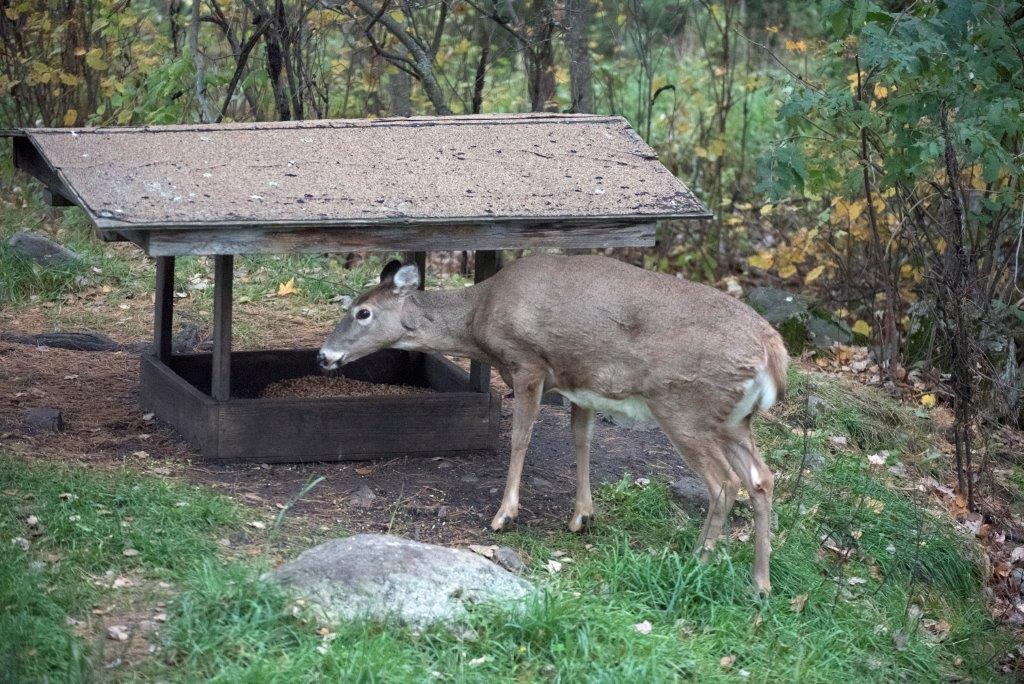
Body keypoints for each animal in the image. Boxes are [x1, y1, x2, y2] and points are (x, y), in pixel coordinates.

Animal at [318, 255, 788, 594]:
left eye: (362, 312)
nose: (323, 356)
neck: (478, 316)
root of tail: (773, 351)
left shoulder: (527, 363)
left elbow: (520, 437)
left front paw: (504, 515)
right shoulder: (581, 386)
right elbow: (581, 441)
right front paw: (582, 516)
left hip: (683, 406)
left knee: (724, 482)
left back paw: (697, 562)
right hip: (734, 421)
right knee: (761, 479)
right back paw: (760, 583)